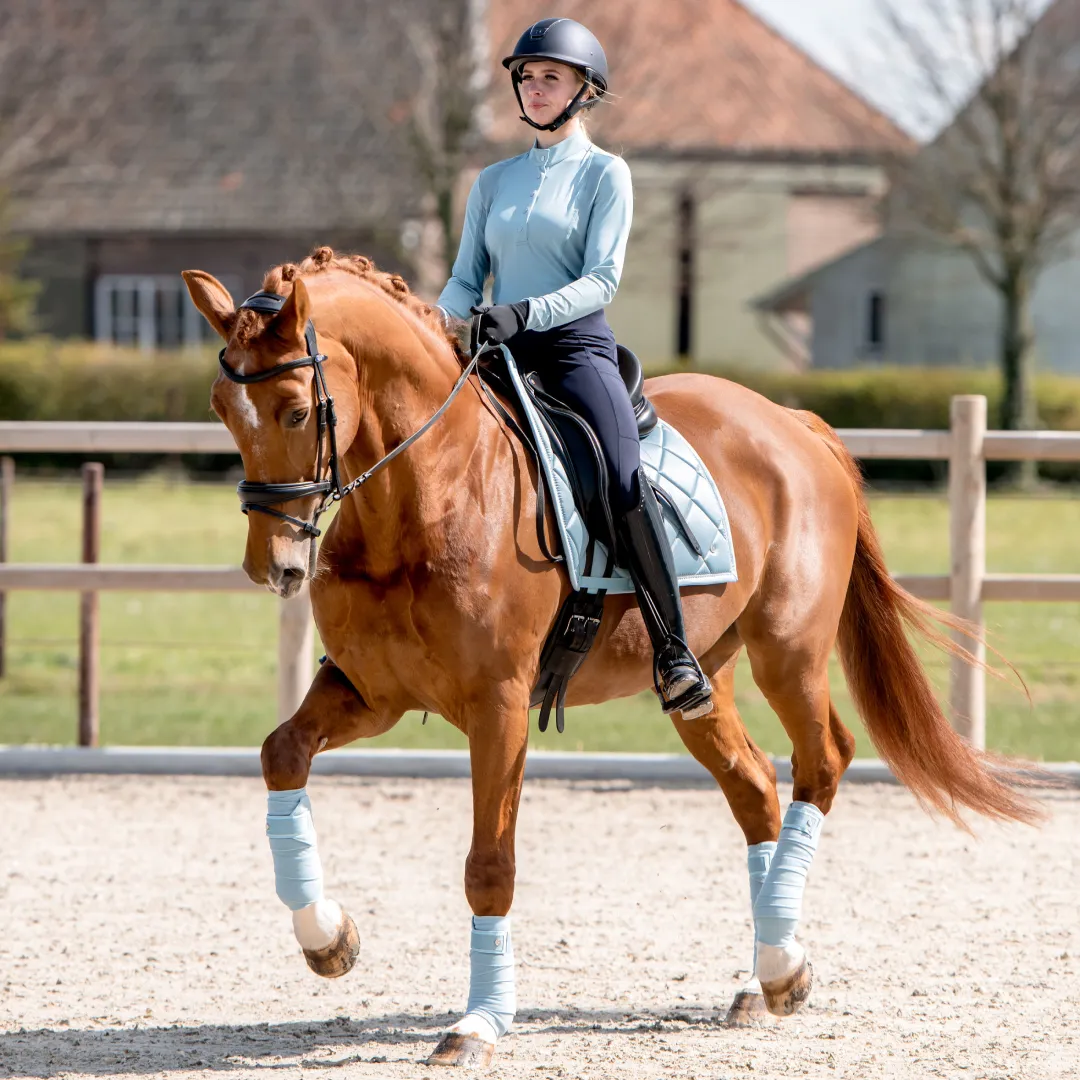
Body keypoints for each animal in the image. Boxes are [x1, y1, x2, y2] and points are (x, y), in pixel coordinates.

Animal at [185, 248, 1036, 1067]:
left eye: (298, 411)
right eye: (222, 410)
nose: (273, 567)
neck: (423, 495)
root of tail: (790, 420)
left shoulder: (498, 705)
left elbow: (489, 866)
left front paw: (478, 1024)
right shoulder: (369, 691)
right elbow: (281, 753)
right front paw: (329, 938)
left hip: (787, 654)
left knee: (821, 762)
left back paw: (783, 967)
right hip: (703, 675)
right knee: (755, 787)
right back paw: (770, 973)